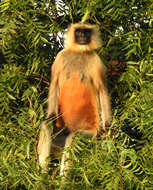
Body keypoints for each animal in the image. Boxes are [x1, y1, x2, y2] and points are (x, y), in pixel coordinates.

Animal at [37, 23, 111, 177]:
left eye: (86, 32)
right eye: (79, 32)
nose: (82, 36)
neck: (79, 52)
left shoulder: (96, 62)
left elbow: (102, 91)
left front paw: (107, 127)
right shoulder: (61, 57)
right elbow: (54, 83)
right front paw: (51, 116)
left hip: (90, 133)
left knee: (74, 137)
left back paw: (62, 179)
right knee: (47, 126)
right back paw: (42, 175)